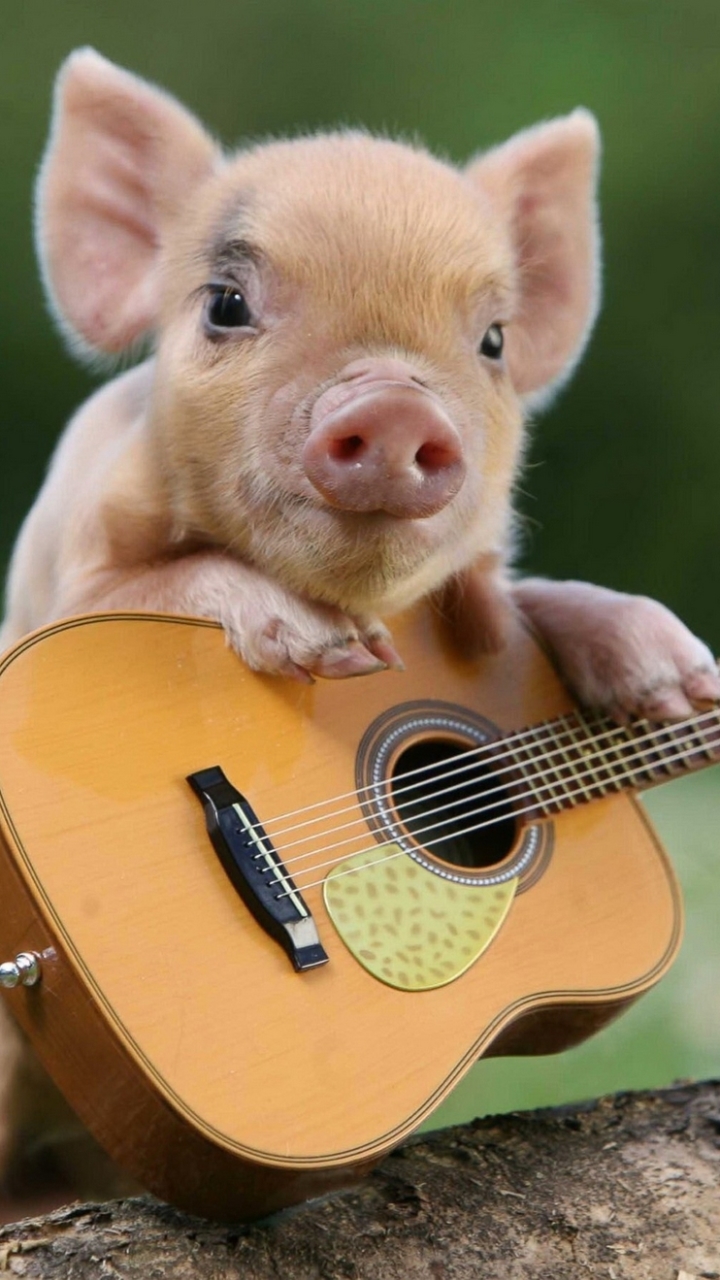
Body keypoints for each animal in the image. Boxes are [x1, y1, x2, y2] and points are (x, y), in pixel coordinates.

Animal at [0, 48, 717, 1201]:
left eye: (494, 340)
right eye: (227, 304)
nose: (394, 404)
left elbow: (520, 601)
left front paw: (680, 680)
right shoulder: (62, 581)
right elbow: (174, 578)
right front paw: (324, 646)